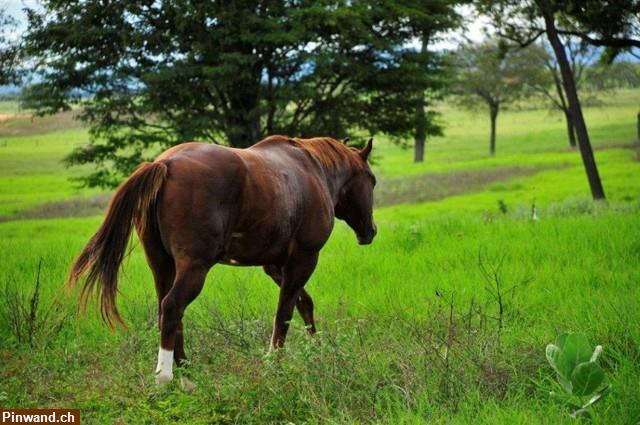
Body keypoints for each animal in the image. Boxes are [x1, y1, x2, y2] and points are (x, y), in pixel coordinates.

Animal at [69, 135, 376, 384]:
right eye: (371, 181)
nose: (370, 231)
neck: (313, 170)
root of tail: (165, 164)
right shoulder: (303, 259)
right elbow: (285, 313)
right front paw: (274, 364)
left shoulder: (276, 266)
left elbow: (303, 304)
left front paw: (316, 350)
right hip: (194, 268)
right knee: (172, 307)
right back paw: (167, 377)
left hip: (161, 264)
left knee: (165, 310)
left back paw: (185, 370)